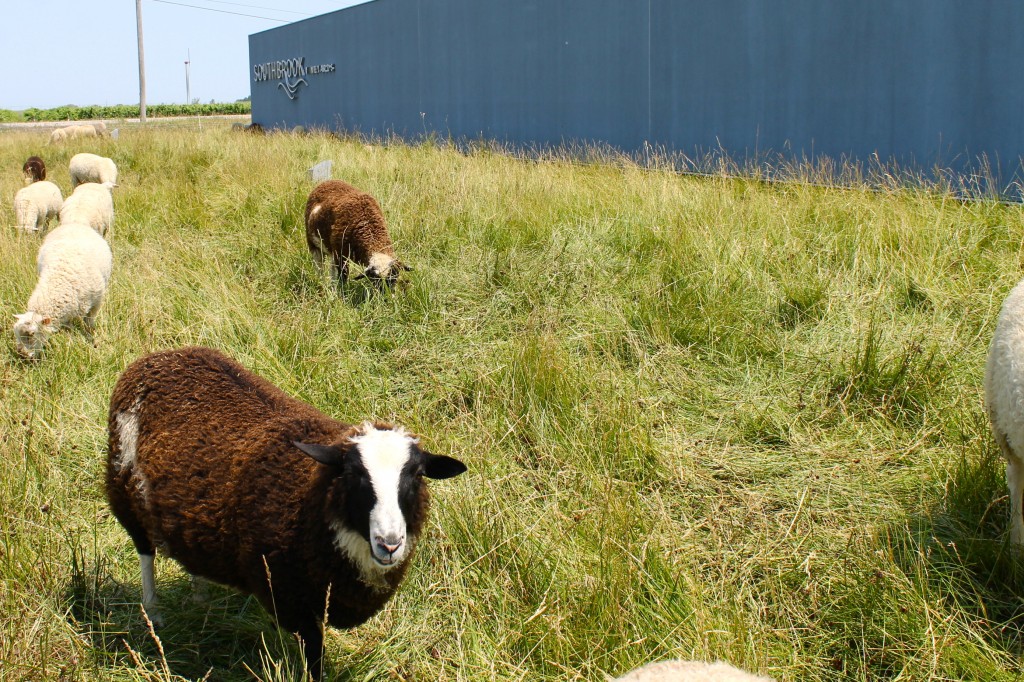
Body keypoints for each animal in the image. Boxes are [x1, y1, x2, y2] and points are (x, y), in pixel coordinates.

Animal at [13, 222, 112, 358]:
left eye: (32, 334)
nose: (22, 355)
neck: (59, 281)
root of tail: (74, 224)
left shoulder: (96, 304)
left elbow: (89, 325)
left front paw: (92, 339)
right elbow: (69, 330)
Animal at [106, 346, 467, 679]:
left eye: (416, 475)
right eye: (353, 475)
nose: (389, 543)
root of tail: (162, 353)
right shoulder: (292, 600)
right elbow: (314, 656)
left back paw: (200, 599)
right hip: (122, 487)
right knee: (145, 552)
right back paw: (153, 612)